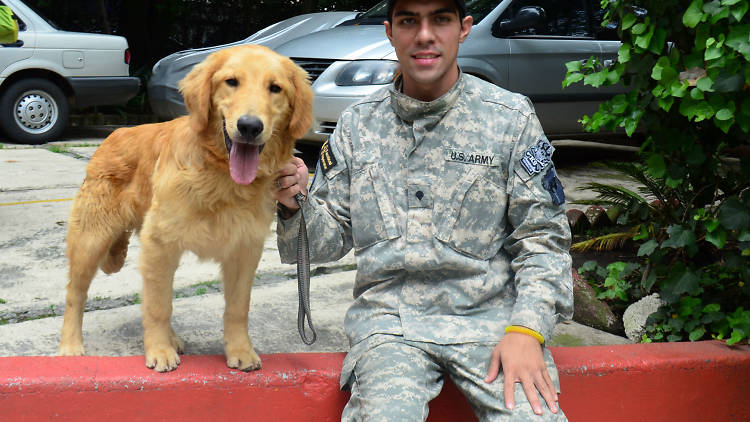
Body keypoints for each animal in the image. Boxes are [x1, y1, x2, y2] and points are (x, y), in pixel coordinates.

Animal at [58, 44, 314, 370]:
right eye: (232, 82)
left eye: (275, 88)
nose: (249, 127)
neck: (222, 178)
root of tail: (113, 135)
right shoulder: (159, 243)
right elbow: (158, 306)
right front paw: (159, 350)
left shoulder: (244, 249)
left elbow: (237, 308)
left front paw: (240, 350)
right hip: (91, 239)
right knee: (75, 294)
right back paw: (70, 345)